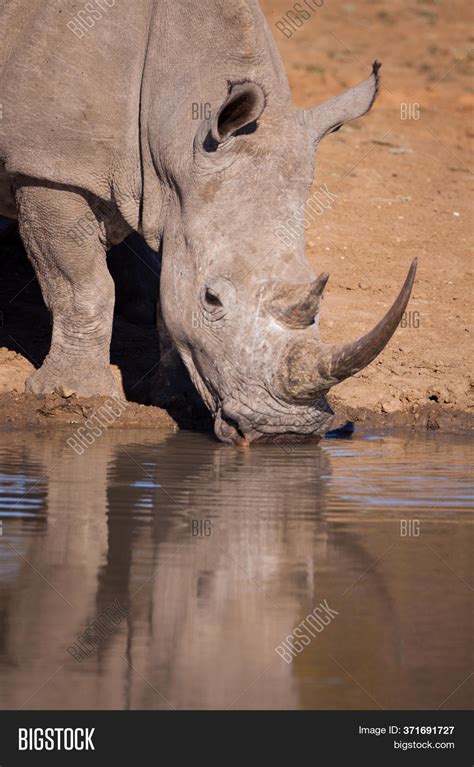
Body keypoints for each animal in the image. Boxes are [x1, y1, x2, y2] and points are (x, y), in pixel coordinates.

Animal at [0, 0, 414, 444]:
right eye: (211, 299)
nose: (286, 432)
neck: (174, 131)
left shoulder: (178, 198)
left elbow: (167, 296)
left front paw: (173, 397)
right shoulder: (49, 169)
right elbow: (82, 286)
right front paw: (76, 395)